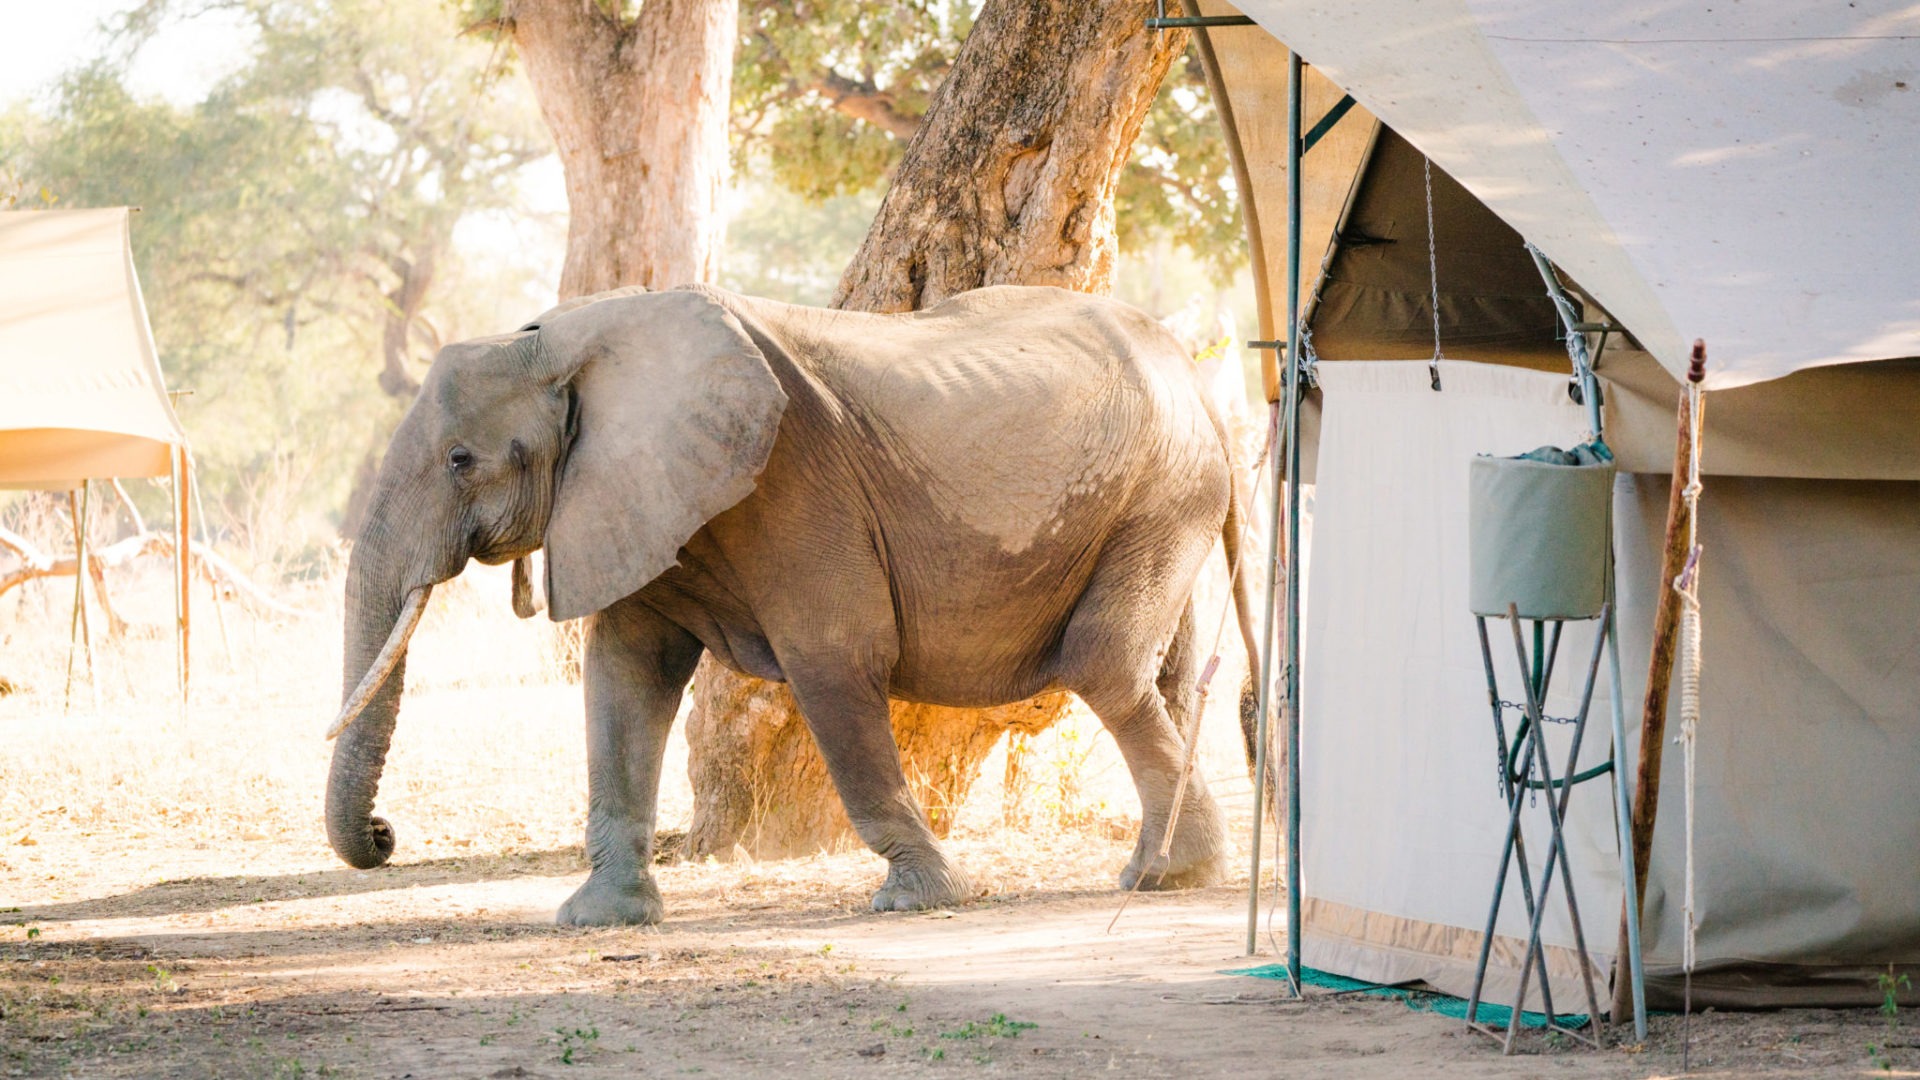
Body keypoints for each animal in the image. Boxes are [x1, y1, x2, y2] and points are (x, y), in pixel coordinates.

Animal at [324, 282, 1261, 926]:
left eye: (460, 460)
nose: (385, 834)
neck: (561, 341)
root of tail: (1199, 376)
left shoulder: (791, 488)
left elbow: (834, 659)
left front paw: (919, 899)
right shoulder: (636, 498)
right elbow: (624, 676)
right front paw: (599, 918)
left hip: (1161, 490)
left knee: (1103, 662)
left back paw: (1165, 877)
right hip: (1163, 499)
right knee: (1165, 678)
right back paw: (1164, 872)